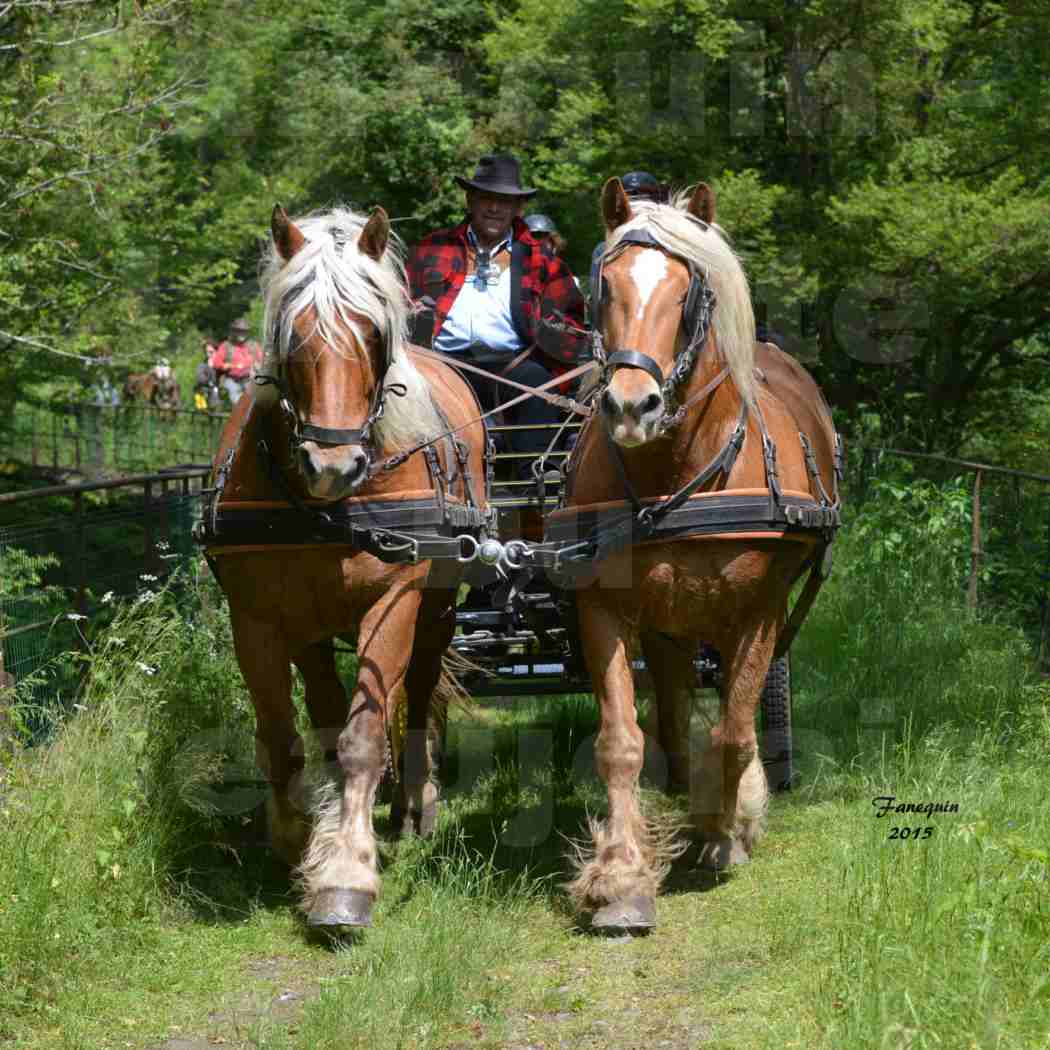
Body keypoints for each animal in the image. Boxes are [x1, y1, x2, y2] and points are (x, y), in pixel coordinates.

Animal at [201, 202, 487, 928]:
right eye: (292, 333)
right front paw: (298, 839)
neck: (329, 508)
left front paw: (347, 876)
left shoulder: (395, 601)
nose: (333, 465)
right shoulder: (257, 617)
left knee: (418, 690)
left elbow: (362, 739)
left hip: (436, 605)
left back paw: (413, 803)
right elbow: (283, 737)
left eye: (374, 332)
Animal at [562, 176, 839, 932]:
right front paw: (622, 878)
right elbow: (623, 741)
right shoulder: (603, 606)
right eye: (604, 286)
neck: (678, 472)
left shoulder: (760, 609)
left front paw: (725, 827)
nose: (633, 406)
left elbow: (735, 729)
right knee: (672, 708)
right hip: (669, 623)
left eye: (690, 292)